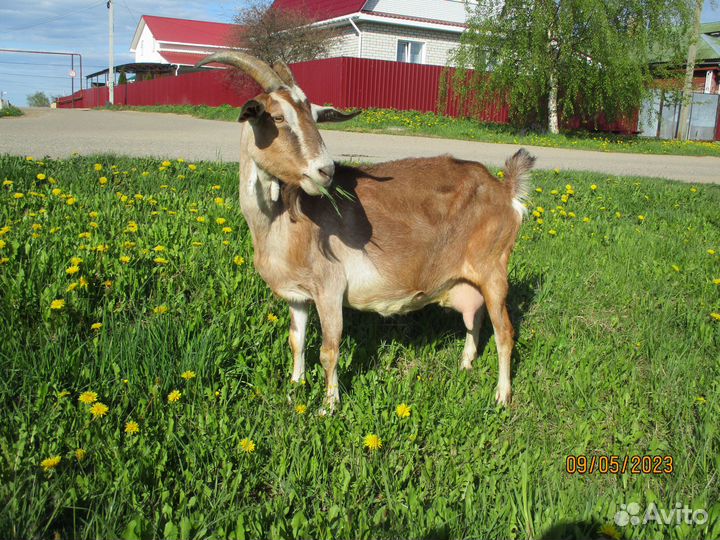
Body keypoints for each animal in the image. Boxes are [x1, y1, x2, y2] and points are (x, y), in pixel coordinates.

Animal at [196, 52, 534, 412]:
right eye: (275, 117)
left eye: (314, 117)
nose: (325, 170)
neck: (281, 220)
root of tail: (505, 189)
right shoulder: (299, 295)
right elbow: (296, 340)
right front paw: (295, 386)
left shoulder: (329, 287)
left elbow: (329, 350)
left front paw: (328, 406)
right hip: (470, 277)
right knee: (477, 317)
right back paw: (466, 362)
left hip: (493, 268)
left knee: (505, 332)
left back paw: (502, 396)